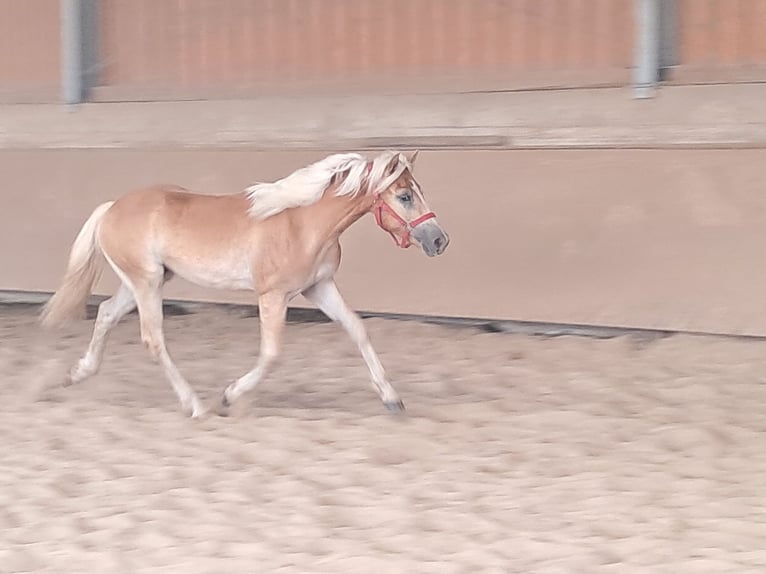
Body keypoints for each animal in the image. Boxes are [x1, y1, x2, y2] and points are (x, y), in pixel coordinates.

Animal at [40, 150, 450, 418]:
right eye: (404, 196)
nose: (439, 240)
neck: (302, 223)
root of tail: (110, 209)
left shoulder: (319, 287)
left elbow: (357, 329)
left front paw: (392, 399)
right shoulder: (272, 296)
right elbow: (271, 354)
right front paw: (229, 396)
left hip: (145, 281)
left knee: (107, 313)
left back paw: (74, 375)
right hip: (147, 283)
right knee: (153, 339)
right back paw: (195, 405)